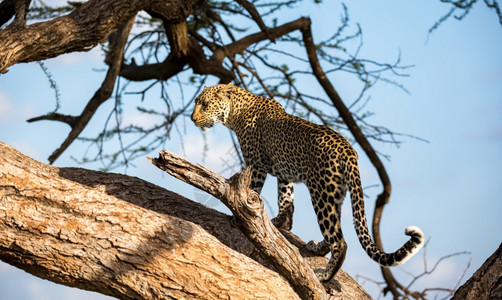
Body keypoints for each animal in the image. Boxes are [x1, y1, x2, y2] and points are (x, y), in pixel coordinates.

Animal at [191, 82, 424, 282]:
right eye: (197, 102)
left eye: (205, 104)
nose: (192, 119)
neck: (235, 113)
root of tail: (349, 150)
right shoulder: (284, 174)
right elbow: (286, 200)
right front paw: (280, 223)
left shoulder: (256, 165)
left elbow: (252, 190)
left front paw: (239, 215)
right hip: (335, 193)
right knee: (334, 232)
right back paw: (317, 247)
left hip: (321, 193)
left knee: (340, 241)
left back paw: (325, 276)